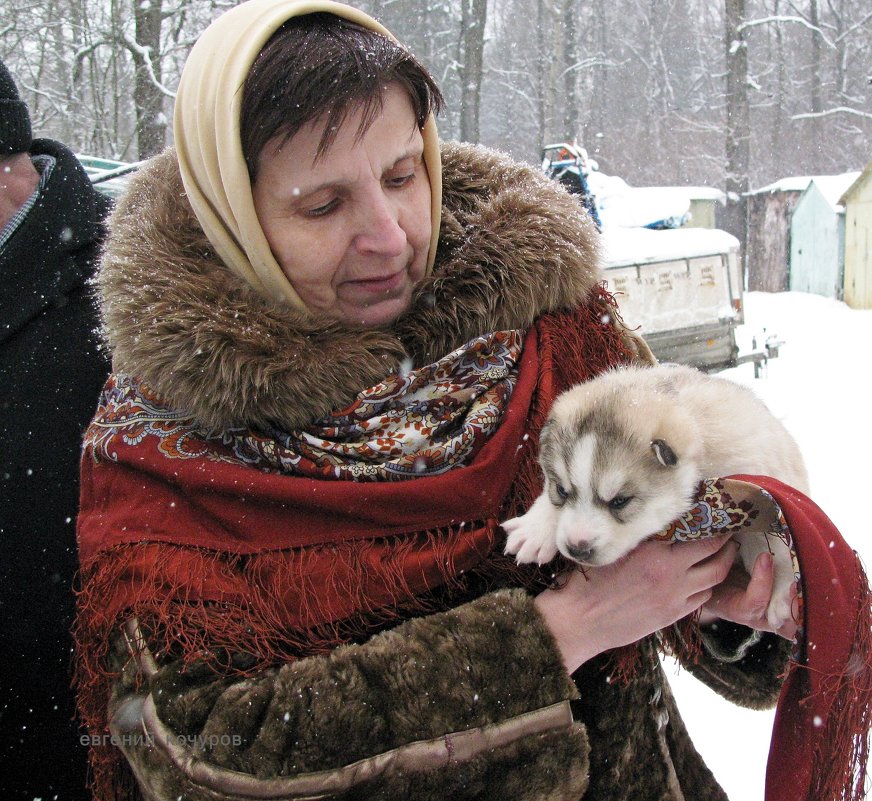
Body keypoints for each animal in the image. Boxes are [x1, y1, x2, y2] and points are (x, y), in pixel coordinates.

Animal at [504, 364, 812, 632]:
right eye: (561, 491)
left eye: (620, 501)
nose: (576, 549)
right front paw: (535, 529)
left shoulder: (760, 479)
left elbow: (775, 541)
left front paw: (781, 592)